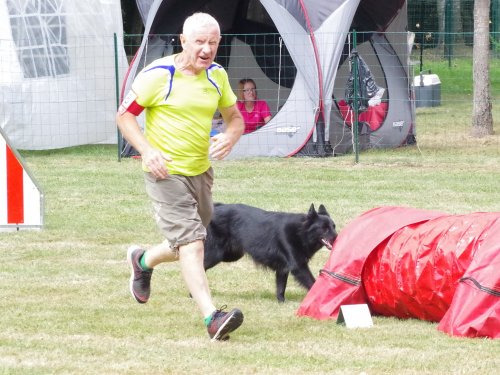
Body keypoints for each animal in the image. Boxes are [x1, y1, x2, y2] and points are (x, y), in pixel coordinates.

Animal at [205, 203, 338, 302]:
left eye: (333, 226)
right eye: (325, 228)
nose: (337, 237)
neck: (300, 232)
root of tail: (215, 207)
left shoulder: (282, 268)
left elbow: (280, 288)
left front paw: (281, 302)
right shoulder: (299, 266)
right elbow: (312, 282)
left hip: (231, 255)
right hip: (216, 254)